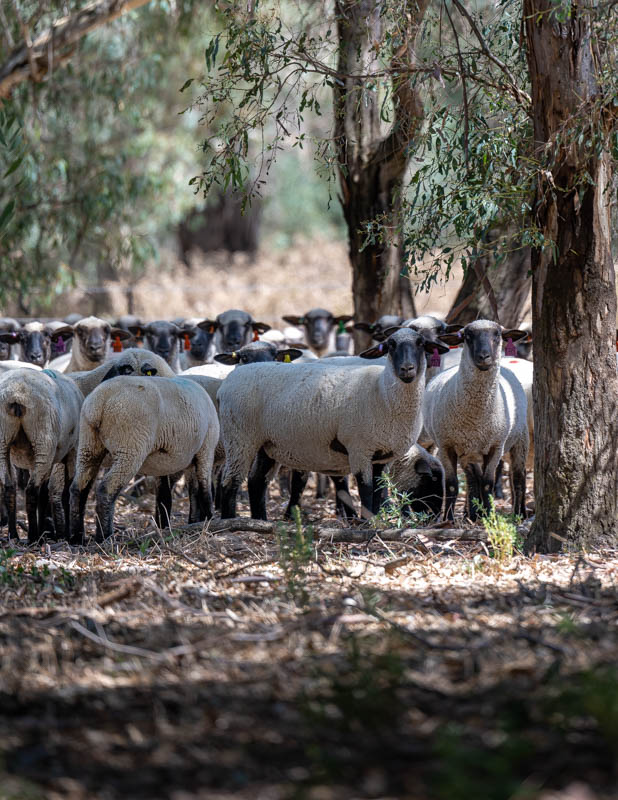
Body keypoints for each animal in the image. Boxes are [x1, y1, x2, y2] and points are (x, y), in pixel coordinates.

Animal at [0, 368, 83, 544]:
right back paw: (34, 536)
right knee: (32, 491)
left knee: (10, 487)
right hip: (43, 439)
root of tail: (17, 394)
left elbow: (46, 493)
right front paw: (65, 535)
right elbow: (64, 493)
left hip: (3, 438)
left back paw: (13, 535)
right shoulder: (72, 450)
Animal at [69, 376, 219, 544]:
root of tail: (100, 401)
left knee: (78, 487)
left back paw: (77, 537)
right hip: (130, 445)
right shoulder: (206, 448)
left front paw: (168, 526)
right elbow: (205, 489)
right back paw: (105, 537)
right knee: (106, 489)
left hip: (88, 444)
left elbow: (171, 494)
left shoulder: (166, 464)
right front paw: (208, 520)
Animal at [218, 326, 448, 520]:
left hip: (266, 444)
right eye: (391, 345)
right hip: (239, 438)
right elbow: (366, 490)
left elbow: (378, 490)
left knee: (257, 482)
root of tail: (228, 381)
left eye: (421, 343)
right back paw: (230, 522)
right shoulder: (359, 449)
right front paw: (367, 523)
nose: (407, 369)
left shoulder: (382, 455)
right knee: (230, 482)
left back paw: (261, 521)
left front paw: (375, 519)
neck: (383, 393)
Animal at [422, 322, 528, 520]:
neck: (475, 418)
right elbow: (452, 485)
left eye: (497, 335)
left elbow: (487, 483)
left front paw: (489, 517)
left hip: (520, 438)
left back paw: (519, 514)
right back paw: (472, 513)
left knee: (518, 477)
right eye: (467, 336)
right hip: (469, 452)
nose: (484, 356)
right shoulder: (447, 445)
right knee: (473, 479)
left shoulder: (495, 447)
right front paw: (448, 519)